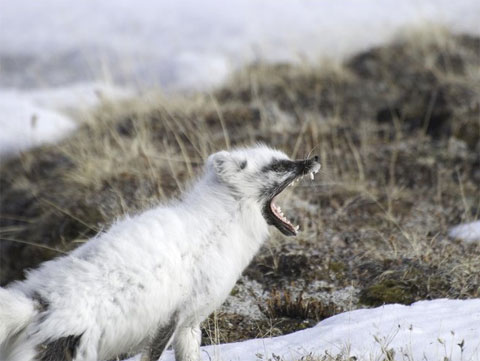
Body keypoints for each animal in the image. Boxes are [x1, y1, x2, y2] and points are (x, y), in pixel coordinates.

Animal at [0, 144, 322, 360]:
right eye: (278, 165)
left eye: (285, 158)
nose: (315, 158)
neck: (218, 226)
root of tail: (39, 301)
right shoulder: (171, 319)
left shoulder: (190, 323)